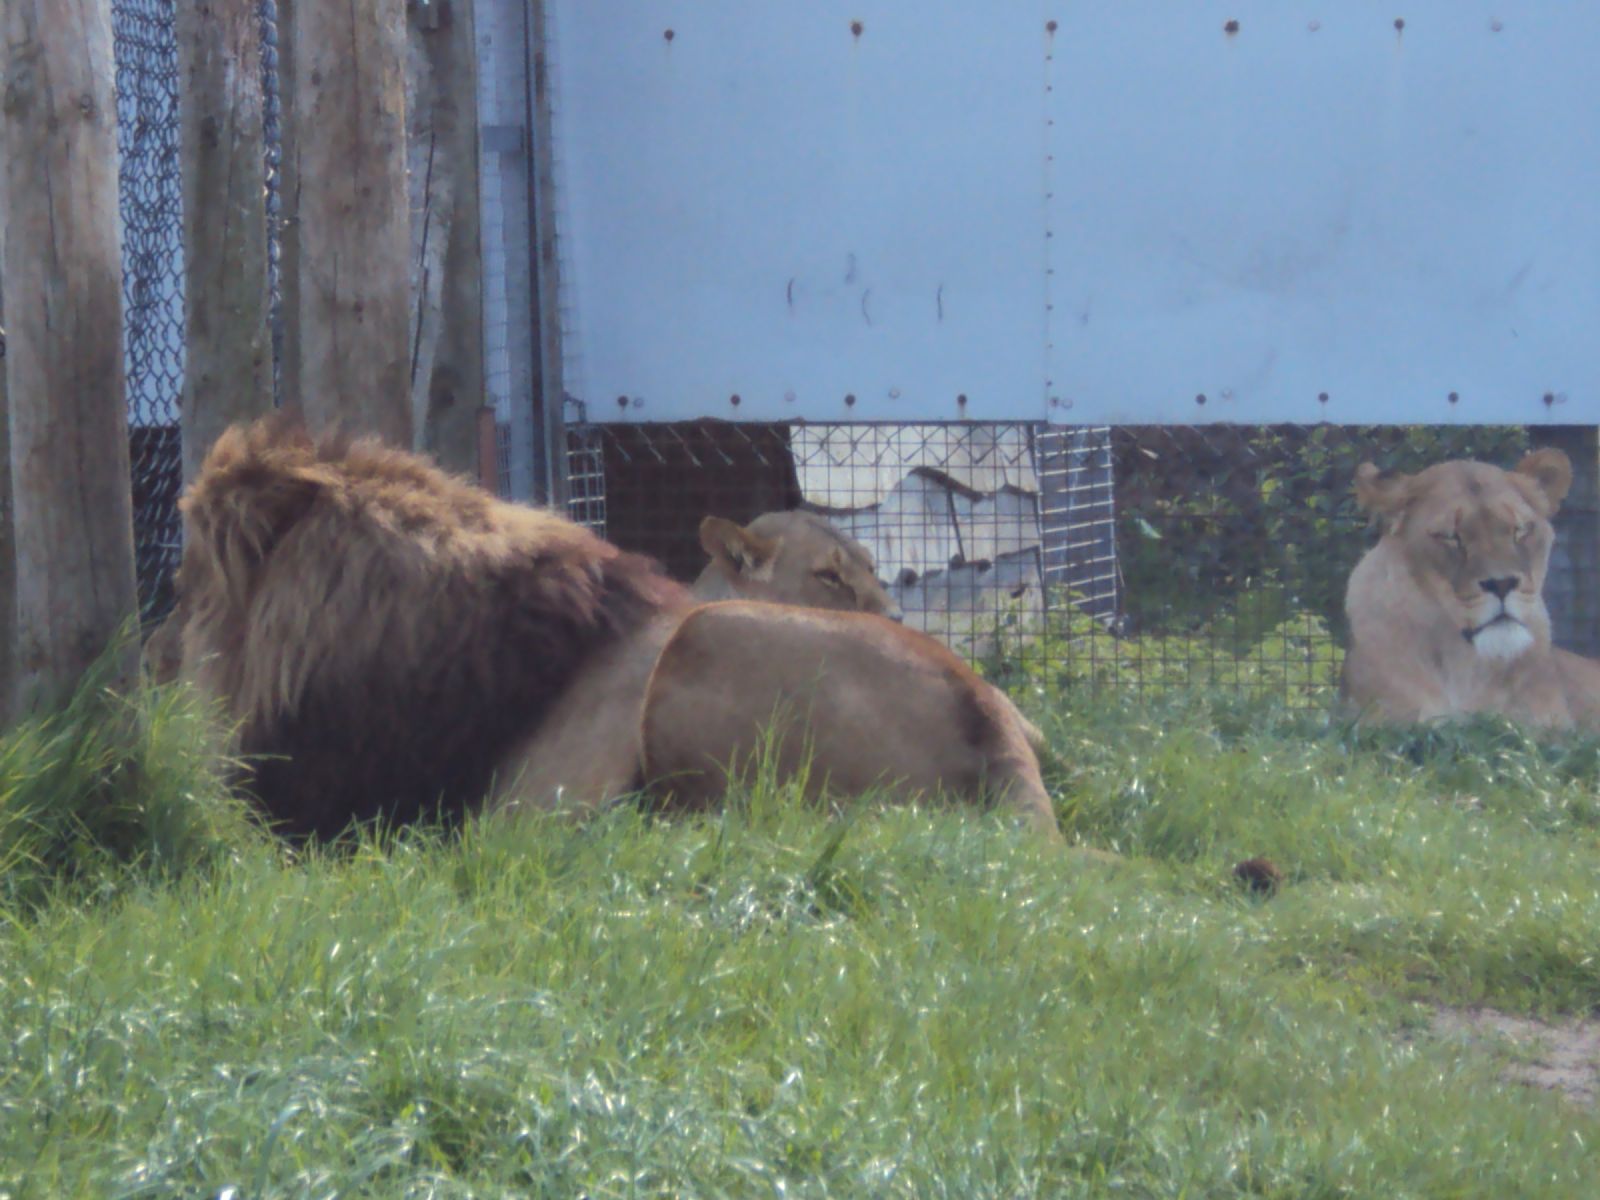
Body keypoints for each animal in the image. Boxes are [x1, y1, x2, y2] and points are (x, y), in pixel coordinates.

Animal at [165, 419, 1062, 838]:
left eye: (189, 584)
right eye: (835, 576)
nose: (162, 647)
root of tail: (986, 712)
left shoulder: (517, 811)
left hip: (705, 646)